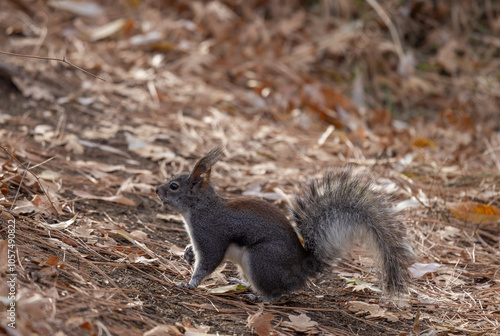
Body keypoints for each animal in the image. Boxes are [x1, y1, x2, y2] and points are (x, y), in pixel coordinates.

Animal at [156, 148, 414, 300]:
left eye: (174, 186)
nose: (157, 190)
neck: (200, 208)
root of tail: (301, 268)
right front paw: (187, 253)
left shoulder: (210, 234)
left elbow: (208, 262)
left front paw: (190, 283)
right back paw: (241, 283)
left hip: (261, 260)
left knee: (277, 292)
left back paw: (260, 296)